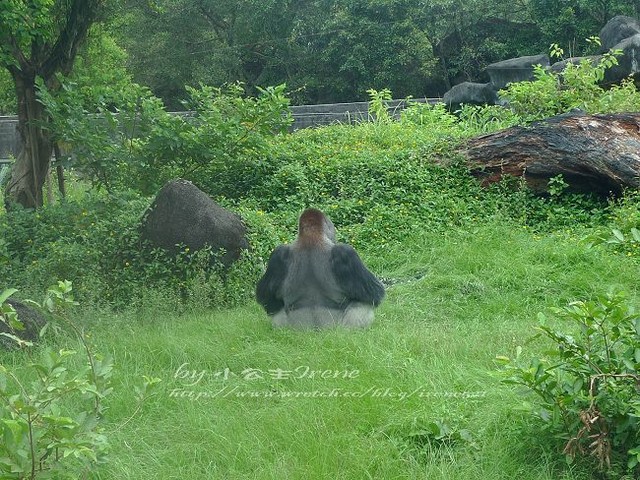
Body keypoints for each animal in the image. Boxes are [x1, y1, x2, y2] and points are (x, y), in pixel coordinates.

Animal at [255, 208, 384, 328]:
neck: (311, 236)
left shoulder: (278, 253)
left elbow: (266, 296)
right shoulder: (345, 252)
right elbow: (375, 293)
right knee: (362, 304)